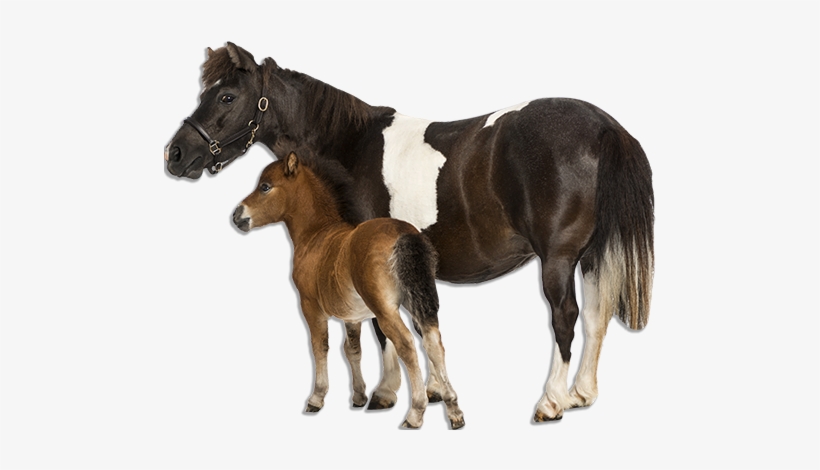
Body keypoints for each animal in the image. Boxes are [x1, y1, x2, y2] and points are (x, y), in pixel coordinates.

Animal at [233, 151, 465, 429]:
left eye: (265, 187)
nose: (237, 215)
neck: (316, 234)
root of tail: (402, 234)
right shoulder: (352, 316)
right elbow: (353, 349)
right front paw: (358, 396)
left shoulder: (310, 306)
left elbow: (320, 346)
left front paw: (316, 398)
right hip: (418, 300)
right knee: (433, 342)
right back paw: (454, 410)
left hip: (385, 309)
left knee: (406, 344)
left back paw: (415, 413)